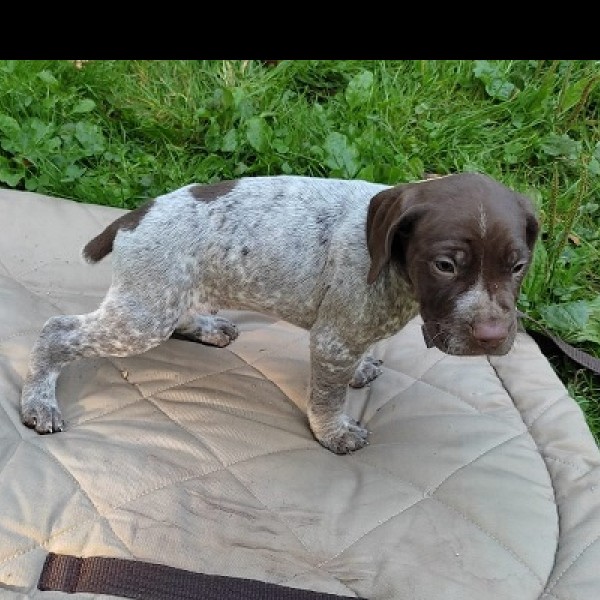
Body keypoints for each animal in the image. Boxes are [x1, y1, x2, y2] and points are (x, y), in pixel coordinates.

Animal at [21, 173, 540, 454]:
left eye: (518, 266)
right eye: (445, 265)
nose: (492, 336)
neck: (391, 266)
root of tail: (134, 218)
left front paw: (361, 368)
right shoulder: (332, 340)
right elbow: (327, 397)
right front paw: (333, 433)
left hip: (166, 294)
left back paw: (204, 325)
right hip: (141, 317)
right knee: (57, 331)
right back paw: (39, 400)